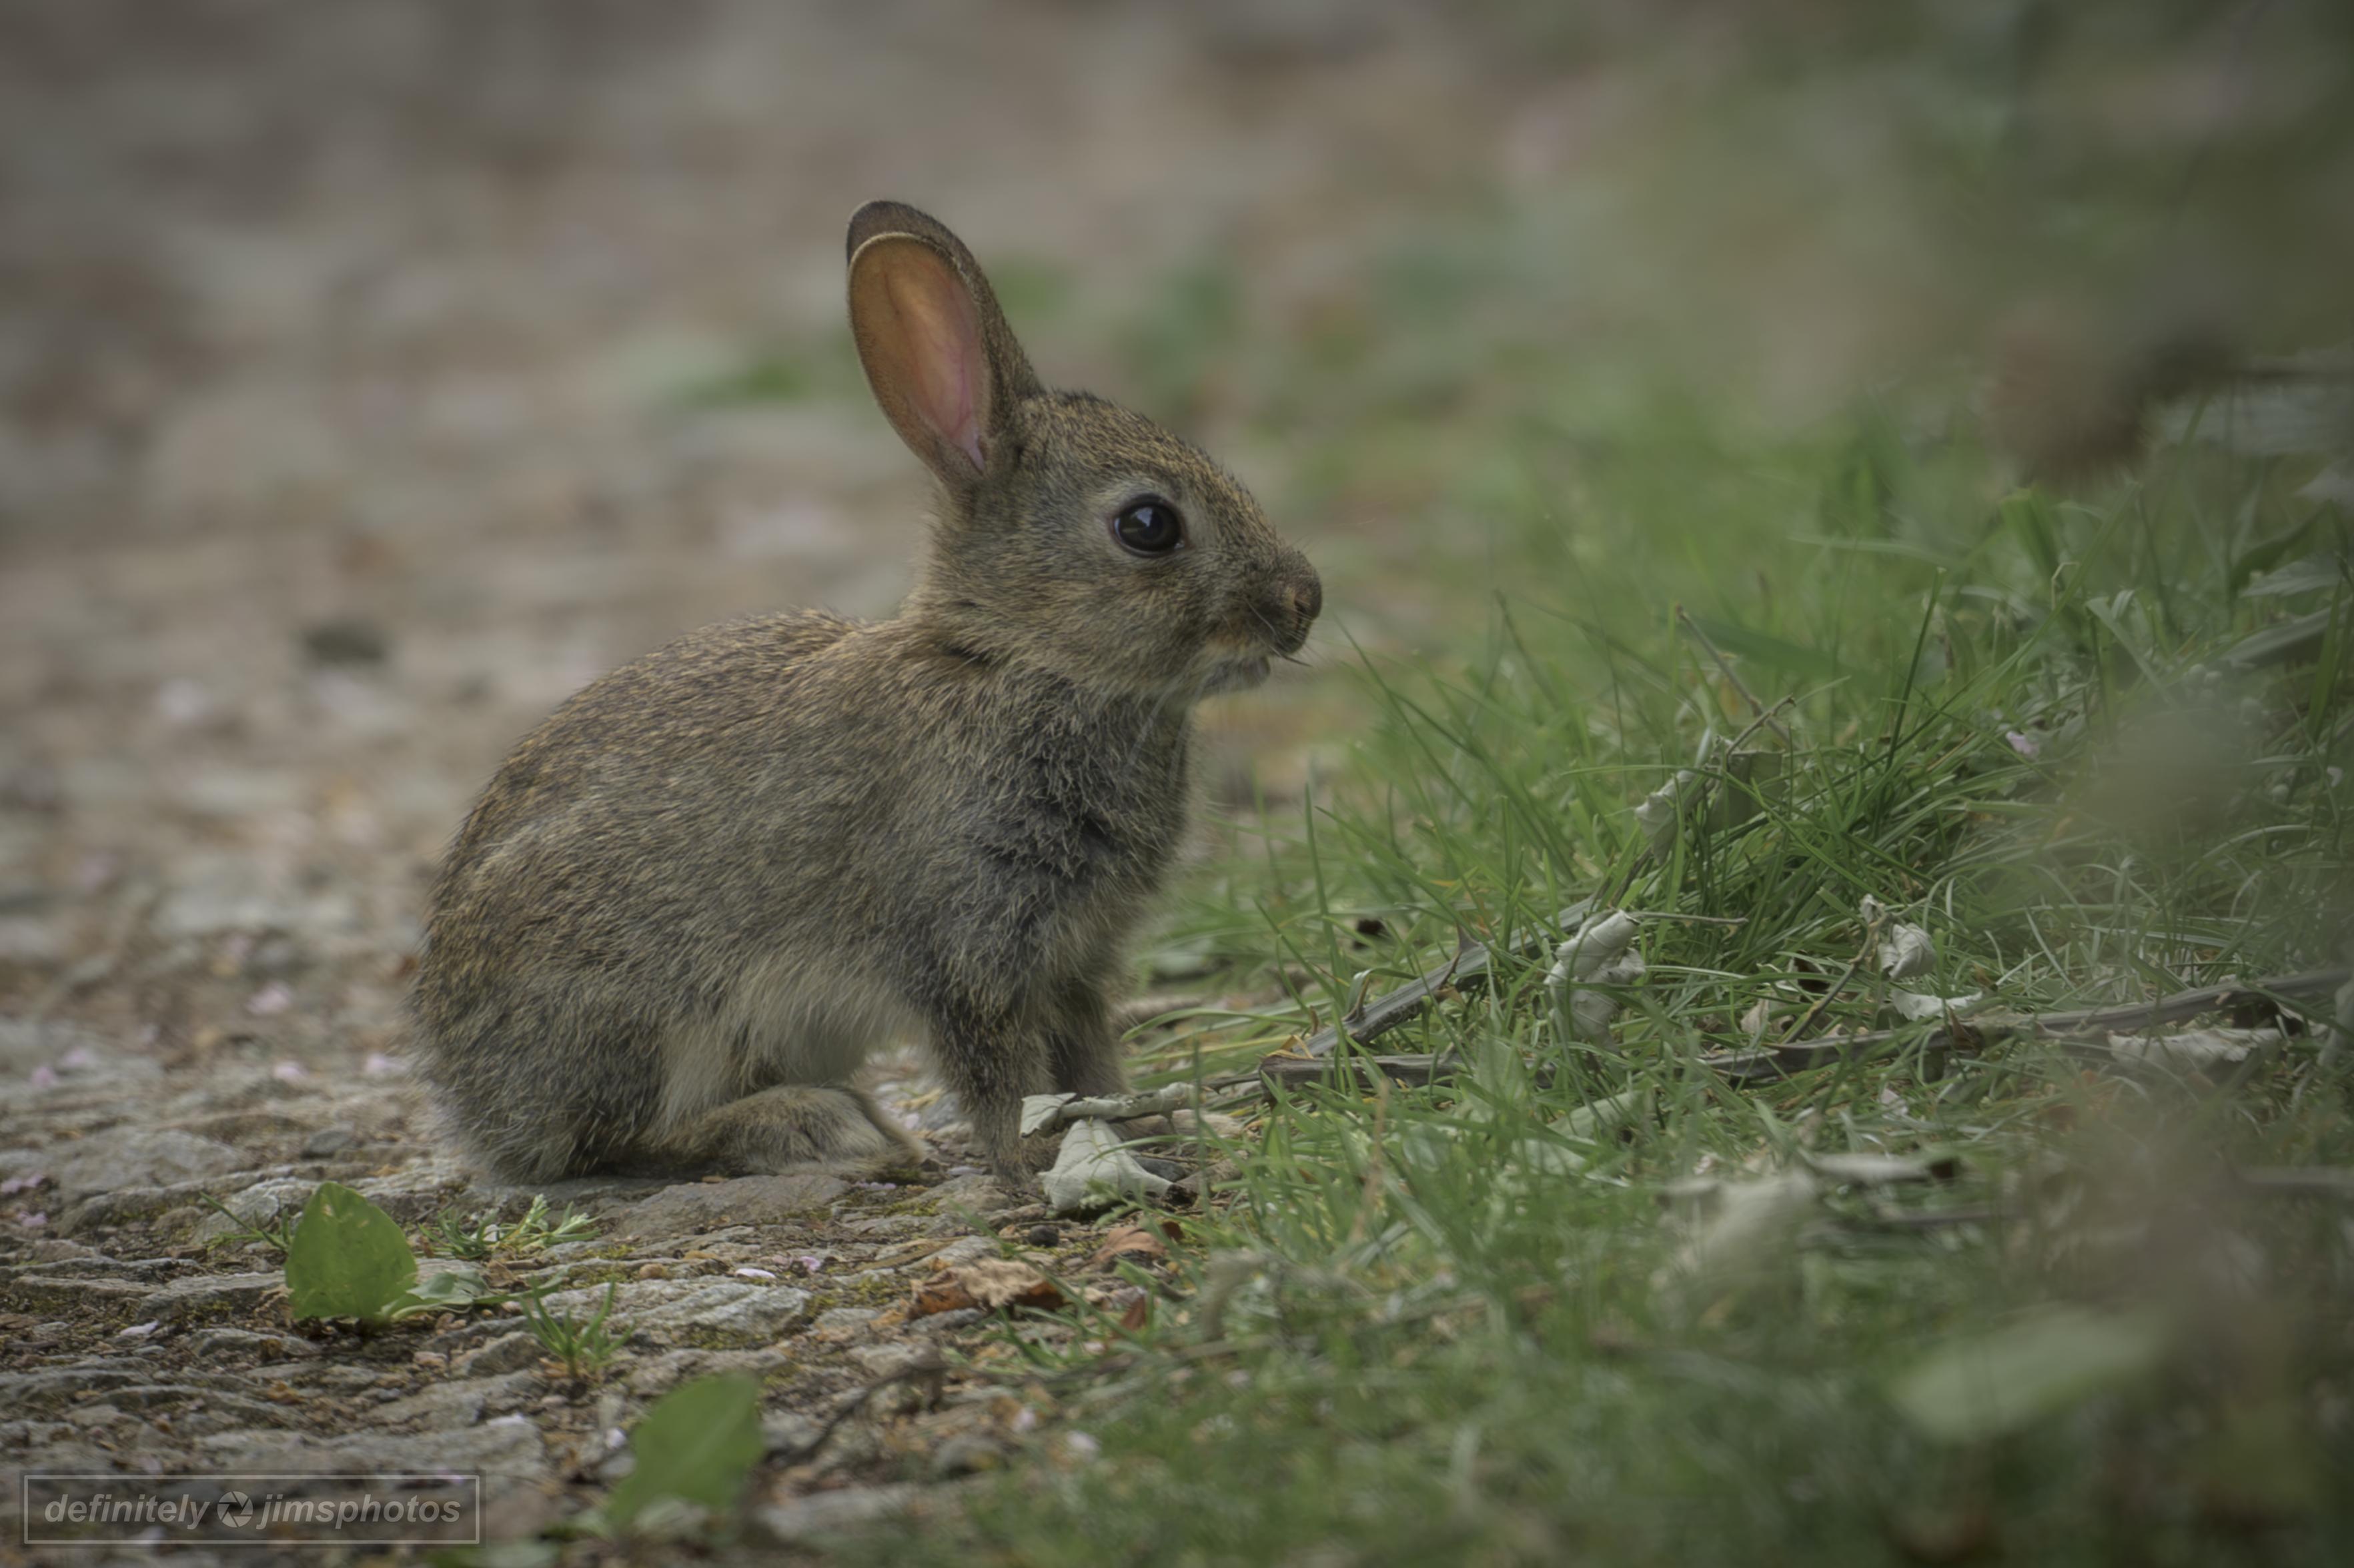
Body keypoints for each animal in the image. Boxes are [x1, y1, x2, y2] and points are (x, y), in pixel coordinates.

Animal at [411, 200, 1321, 1185]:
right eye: (1148, 524)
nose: (1303, 601)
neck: (1021, 661)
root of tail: (474, 1102)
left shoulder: (1074, 960)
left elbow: (1089, 1062)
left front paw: (1157, 1132)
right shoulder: (966, 948)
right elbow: (998, 1073)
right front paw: (1036, 1155)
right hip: (642, 1011)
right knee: (615, 1141)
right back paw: (820, 1126)